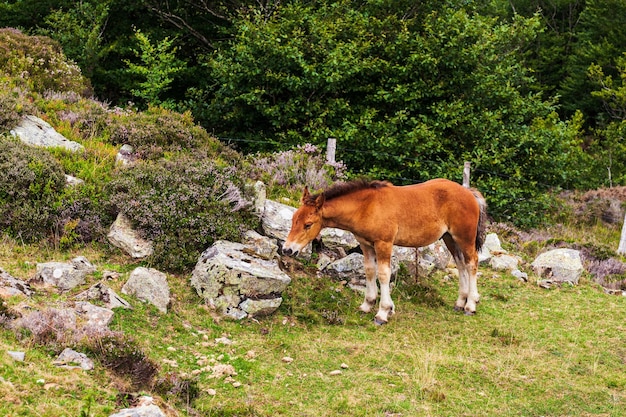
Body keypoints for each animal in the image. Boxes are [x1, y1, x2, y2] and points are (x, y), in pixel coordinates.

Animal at [282, 177, 488, 324]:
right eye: (293, 219)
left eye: (308, 224)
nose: (287, 250)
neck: (367, 207)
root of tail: (469, 192)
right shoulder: (366, 244)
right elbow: (369, 271)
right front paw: (367, 304)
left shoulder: (384, 243)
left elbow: (383, 274)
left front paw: (383, 312)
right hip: (449, 238)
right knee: (461, 264)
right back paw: (460, 302)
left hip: (464, 237)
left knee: (472, 263)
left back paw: (470, 305)